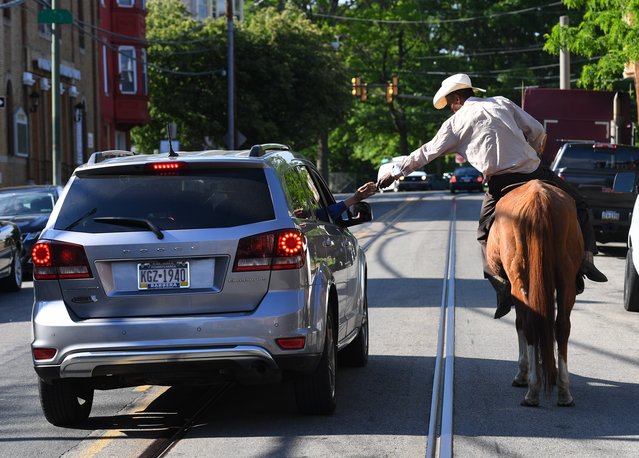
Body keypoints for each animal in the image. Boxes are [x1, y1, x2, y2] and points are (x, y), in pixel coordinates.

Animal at [490, 179, 584, 408]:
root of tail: (538, 199)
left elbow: (521, 325)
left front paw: (524, 373)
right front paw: (549, 370)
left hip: (519, 280)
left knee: (530, 323)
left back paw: (532, 389)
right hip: (566, 279)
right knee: (561, 326)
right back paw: (563, 391)